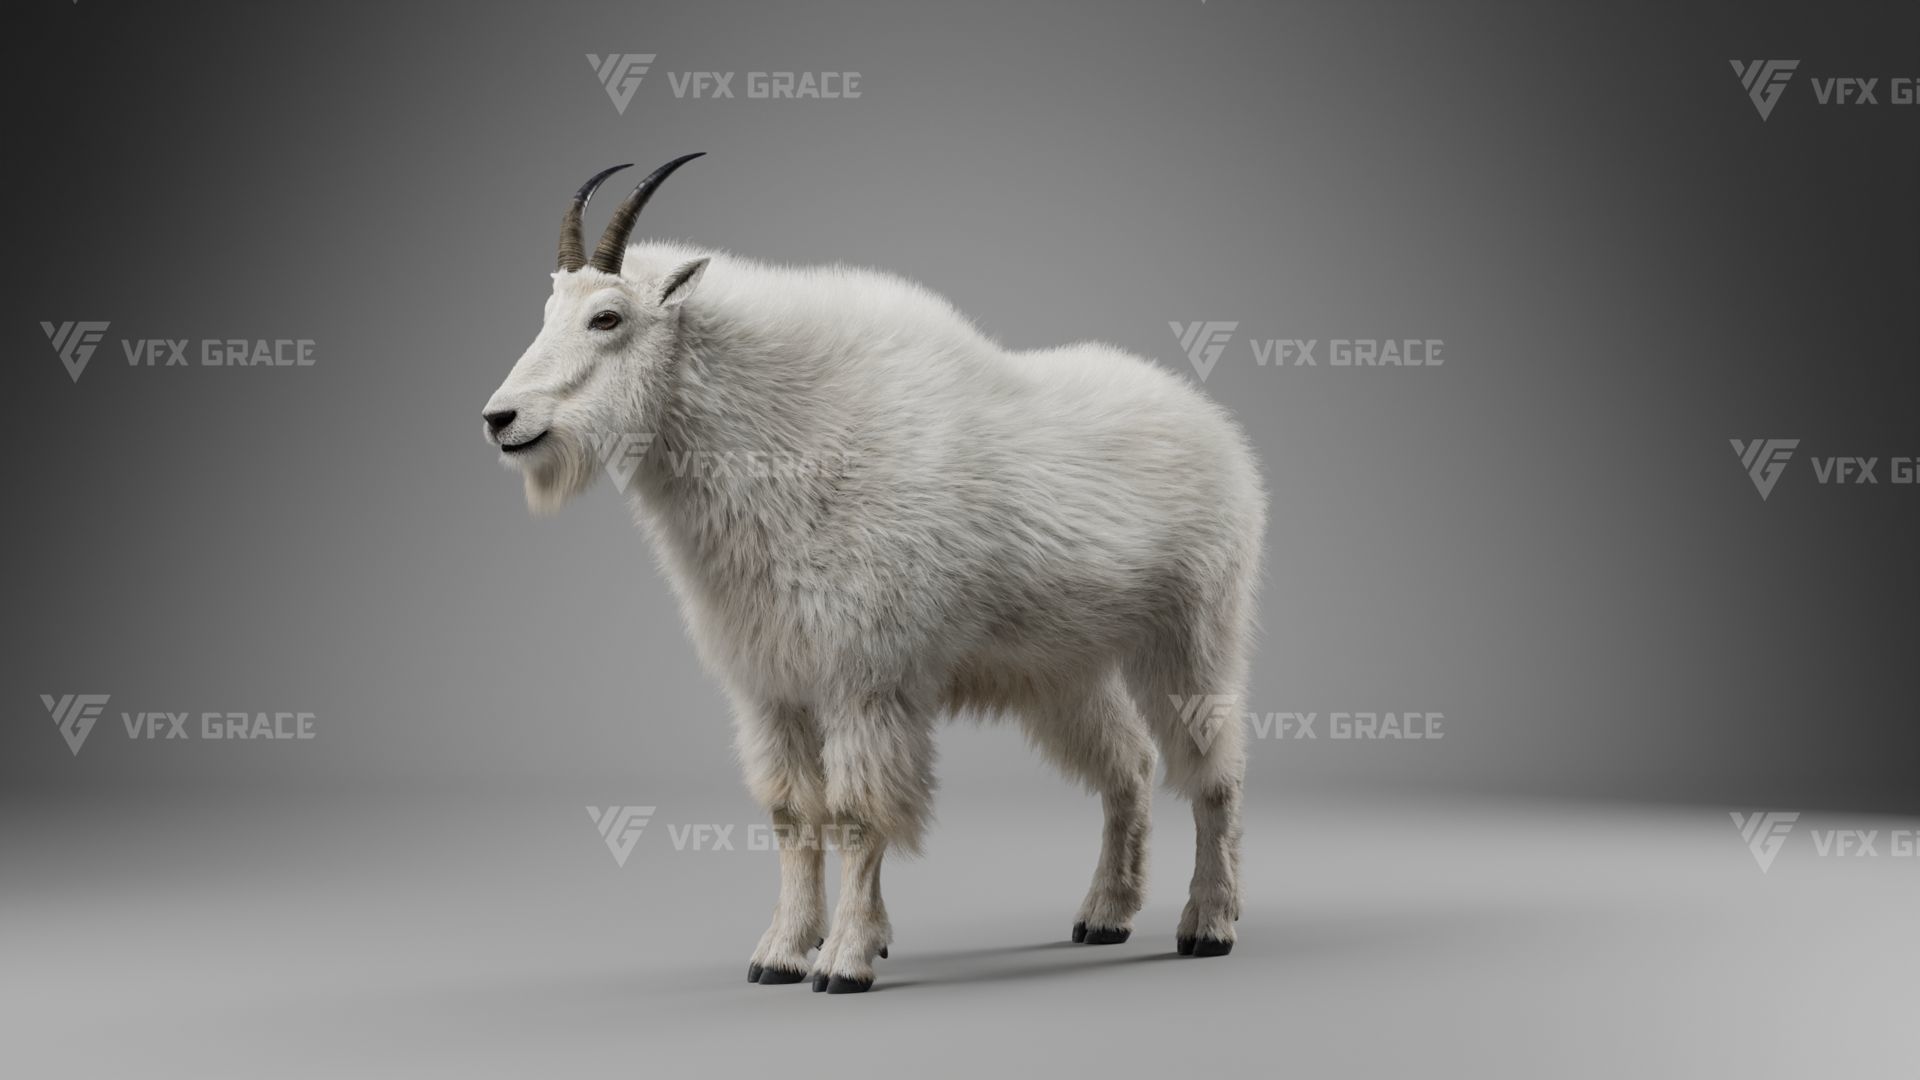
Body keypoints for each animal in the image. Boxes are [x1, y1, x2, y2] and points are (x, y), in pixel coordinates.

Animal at [482, 154, 1266, 993]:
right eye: (548, 311)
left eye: (607, 318)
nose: (501, 419)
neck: (785, 438)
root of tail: (1217, 428)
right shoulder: (772, 685)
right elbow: (792, 815)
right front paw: (781, 952)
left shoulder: (868, 680)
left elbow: (858, 814)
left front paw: (847, 959)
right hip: (1065, 668)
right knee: (1130, 767)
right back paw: (1105, 914)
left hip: (1192, 631)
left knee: (1215, 774)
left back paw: (1208, 923)